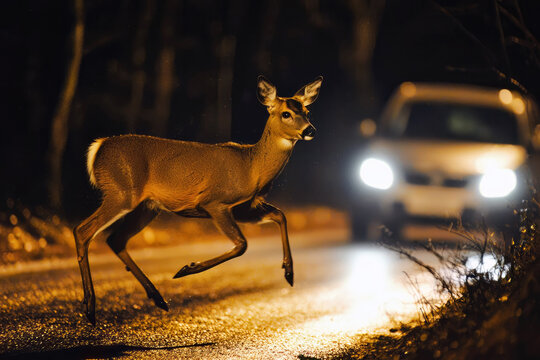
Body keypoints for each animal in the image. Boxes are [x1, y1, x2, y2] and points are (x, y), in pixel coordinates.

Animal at [74, 76, 322, 324]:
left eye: (307, 111)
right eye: (286, 113)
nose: (310, 129)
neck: (252, 168)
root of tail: (98, 148)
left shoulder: (244, 208)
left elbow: (280, 215)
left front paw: (289, 273)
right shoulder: (215, 202)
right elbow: (242, 244)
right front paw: (187, 268)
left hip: (147, 207)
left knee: (116, 239)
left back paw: (158, 298)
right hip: (122, 192)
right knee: (83, 230)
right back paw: (90, 308)